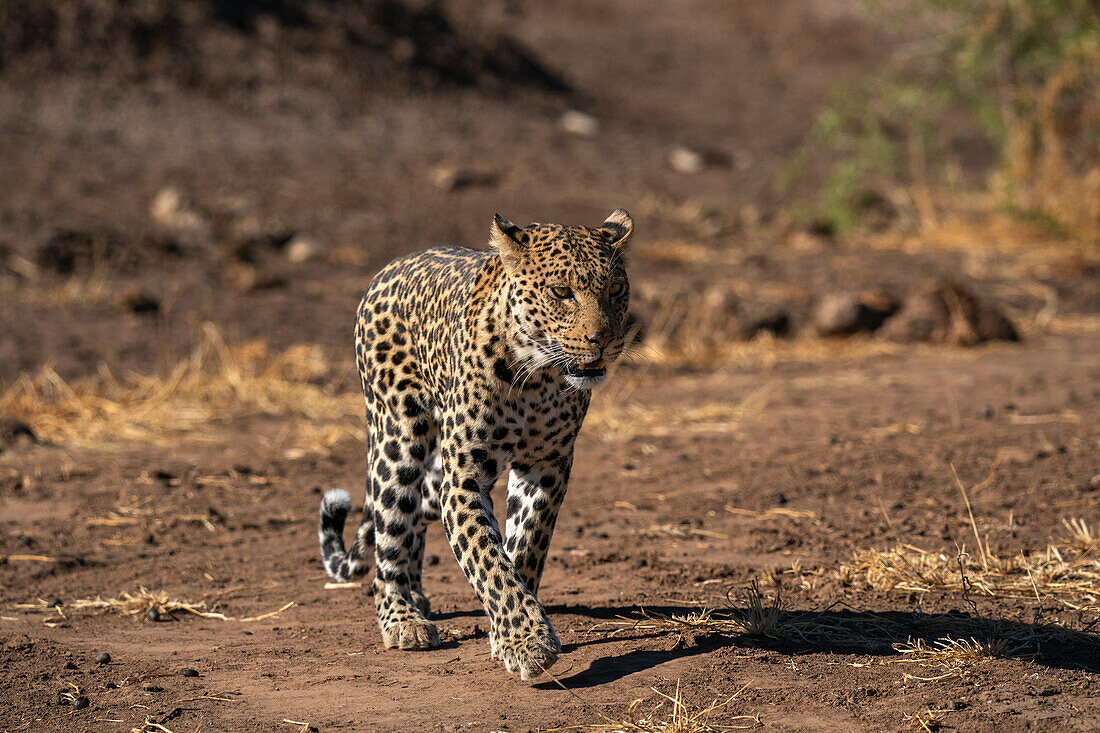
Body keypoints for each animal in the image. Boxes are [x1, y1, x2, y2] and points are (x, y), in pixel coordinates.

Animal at [314, 208, 633, 677]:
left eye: (615, 290)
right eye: (562, 292)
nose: (604, 340)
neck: (538, 378)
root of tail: (389, 268)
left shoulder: (547, 465)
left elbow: (524, 548)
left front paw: (507, 636)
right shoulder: (463, 479)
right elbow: (488, 559)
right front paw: (528, 642)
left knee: (412, 523)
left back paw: (417, 594)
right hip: (398, 439)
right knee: (389, 532)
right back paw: (403, 618)